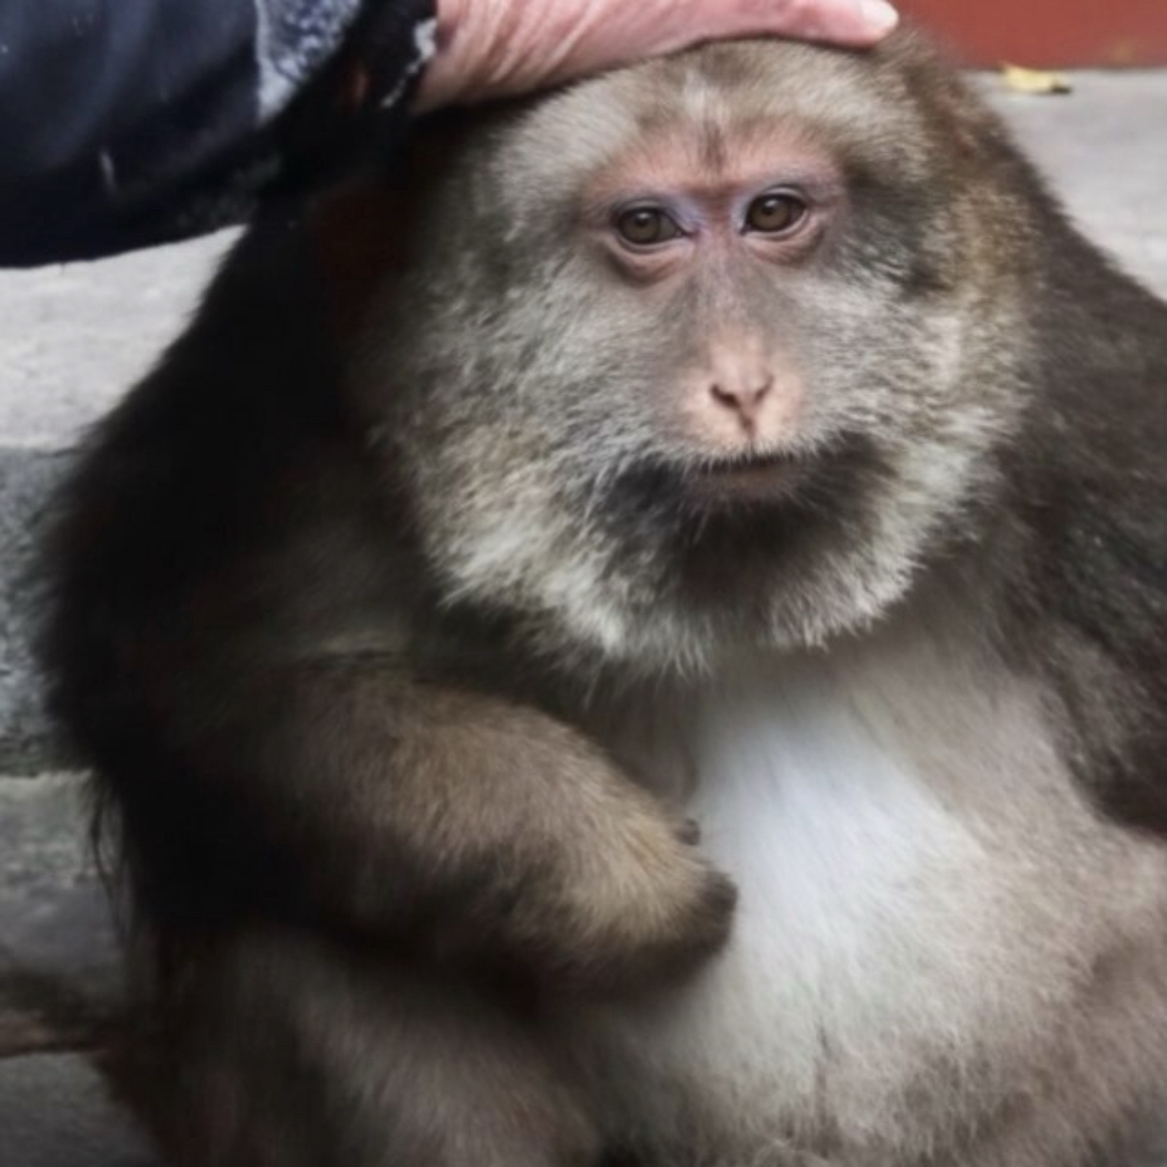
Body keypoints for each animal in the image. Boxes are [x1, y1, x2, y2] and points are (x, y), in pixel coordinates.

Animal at [38, 26, 1167, 1167]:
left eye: (774, 213)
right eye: (645, 226)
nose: (743, 383)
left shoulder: (1075, 374)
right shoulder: (294, 371)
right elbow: (181, 666)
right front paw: (608, 875)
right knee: (292, 926)